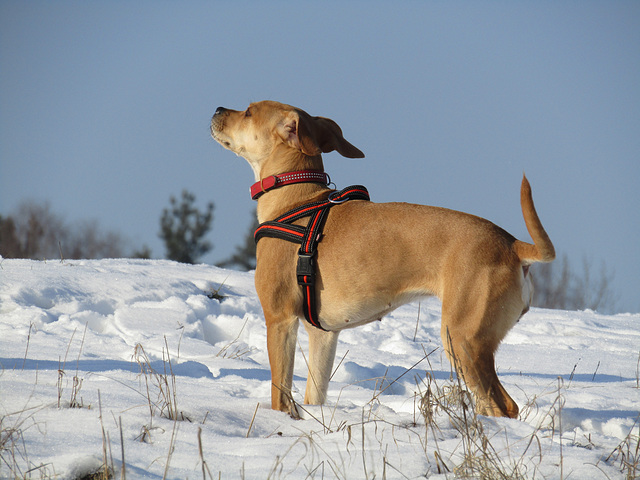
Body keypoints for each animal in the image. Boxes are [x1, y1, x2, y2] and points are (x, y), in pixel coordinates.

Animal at [211, 99, 556, 418]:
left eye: (249, 112)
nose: (216, 109)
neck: (298, 202)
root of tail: (512, 245)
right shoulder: (323, 334)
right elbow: (314, 394)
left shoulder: (280, 319)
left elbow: (280, 395)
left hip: (464, 338)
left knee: (502, 406)